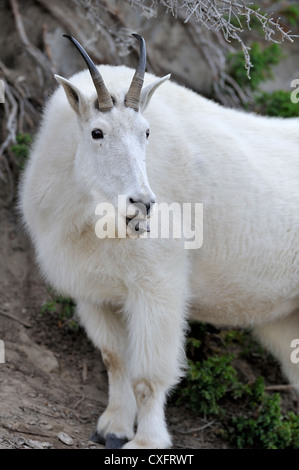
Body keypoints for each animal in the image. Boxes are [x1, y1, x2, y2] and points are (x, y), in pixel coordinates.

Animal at [20, 34, 299, 448]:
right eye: (97, 132)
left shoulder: (157, 285)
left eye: (146, 133)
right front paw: (113, 428)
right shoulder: (96, 294)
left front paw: (146, 441)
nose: (143, 204)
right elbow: (115, 359)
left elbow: (148, 376)